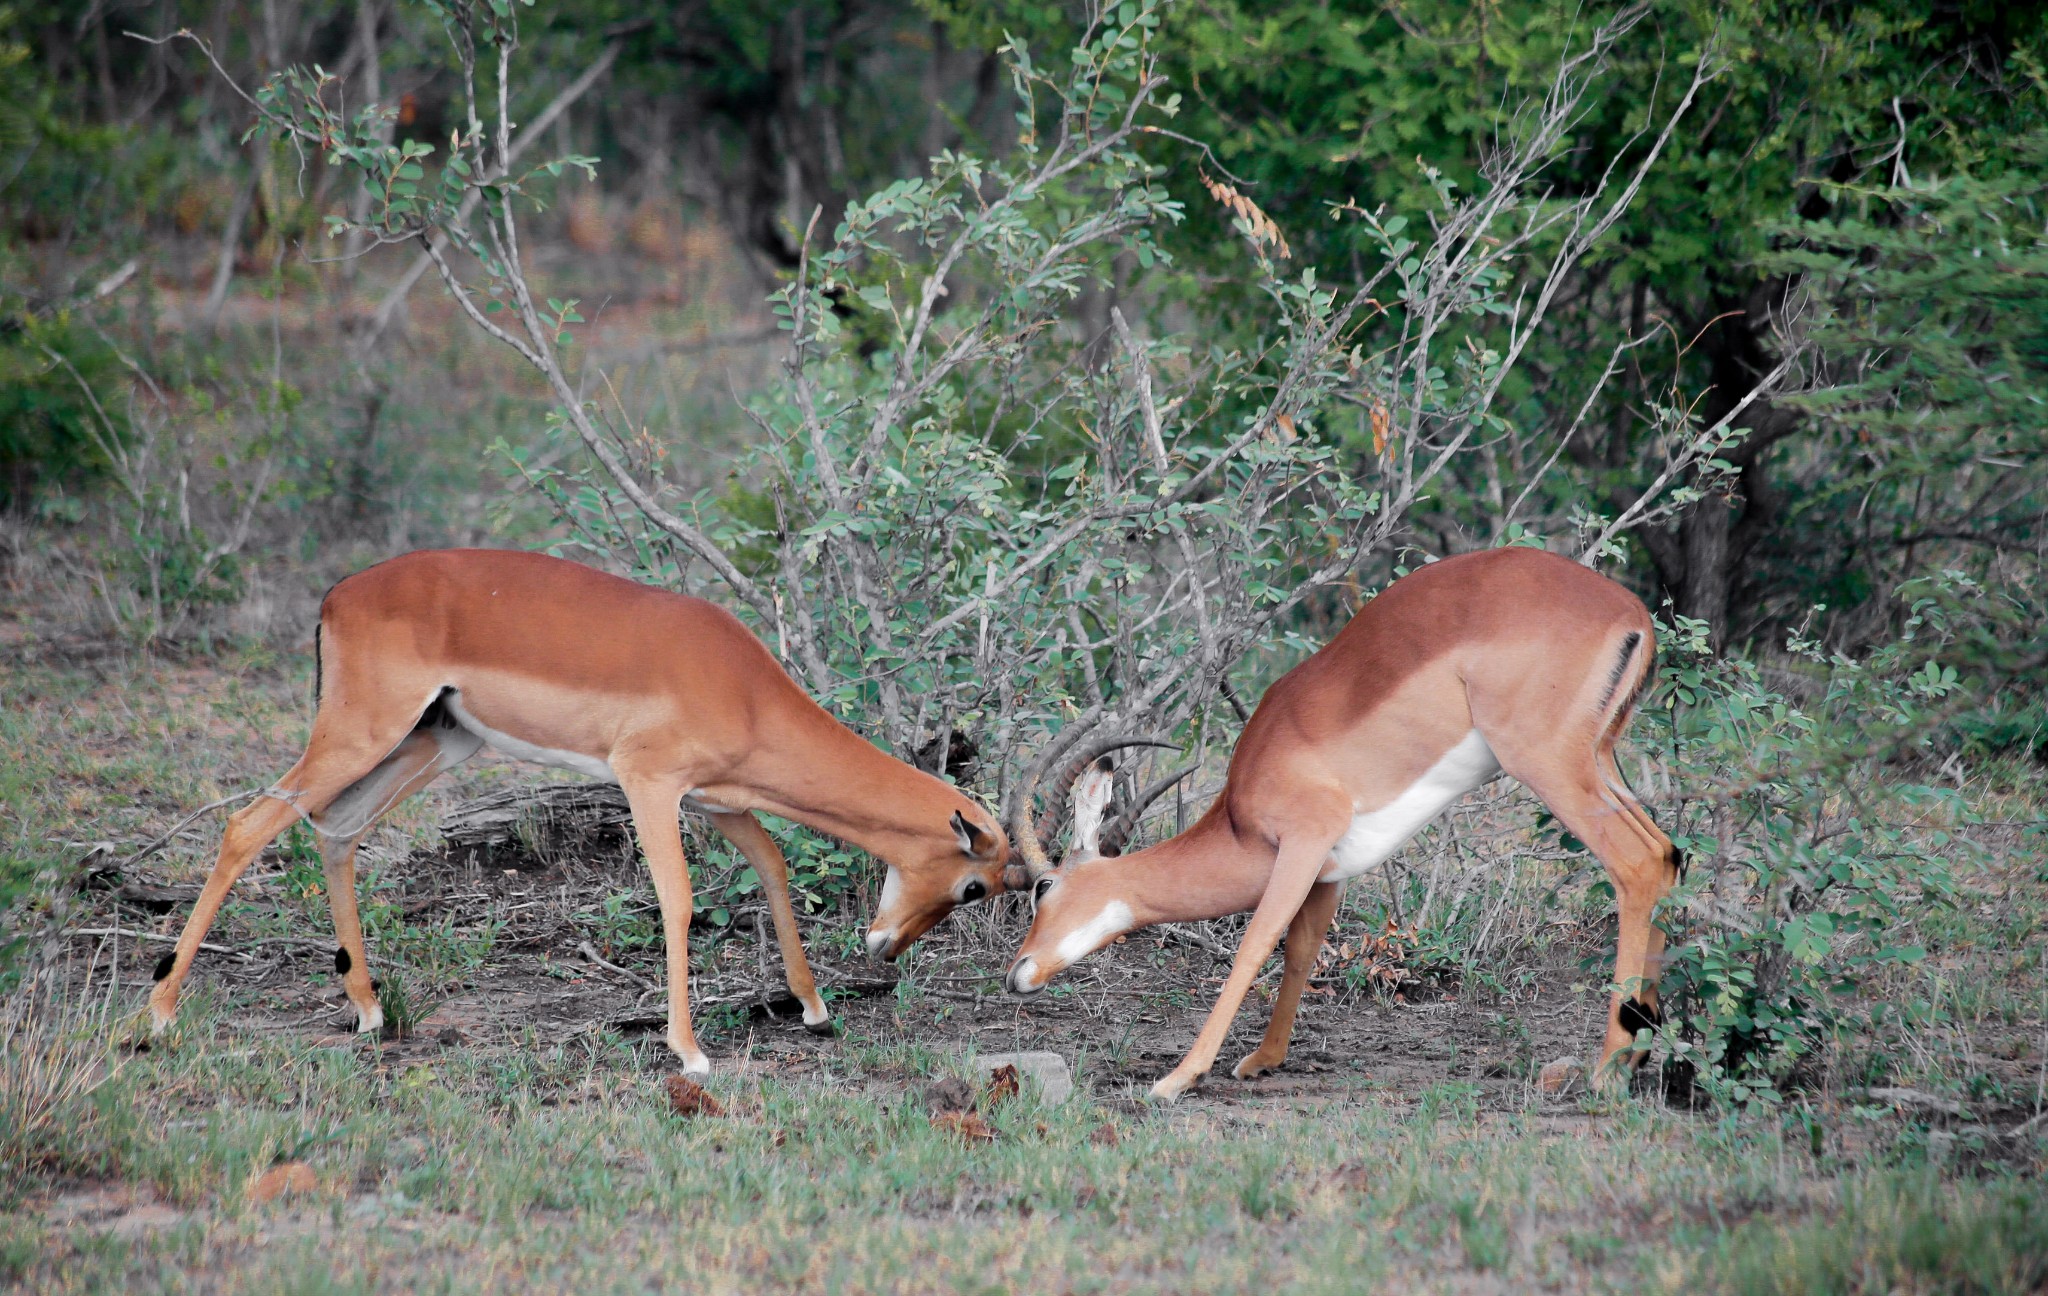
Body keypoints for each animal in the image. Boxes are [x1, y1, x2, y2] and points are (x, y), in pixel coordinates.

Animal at [148, 548, 1011, 1072]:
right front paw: (689, 1052)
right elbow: (678, 898)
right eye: (974, 885)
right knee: (249, 825)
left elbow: (771, 865)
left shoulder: (719, 801)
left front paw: (815, 1009)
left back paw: (366, 1009)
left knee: (337, 830)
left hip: (433, 742)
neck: (743, 685)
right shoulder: (648, 784)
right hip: (362, 732)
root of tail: (337, 594)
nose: (887, 949)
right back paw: (159, 1012)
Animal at [1003, 540, 1679, 1097]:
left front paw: (1176, 1079)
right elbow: (1302, 950)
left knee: (1639, 863)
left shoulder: (1303, 842)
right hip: (1601, 761)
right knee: (1671, 856)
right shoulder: (1331, 870)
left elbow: (1255, 945)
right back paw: (1642, 1050)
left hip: (1550, 767)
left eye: (1043, 886)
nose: (1017, 975)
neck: (1241, 818)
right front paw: (1263, 1059)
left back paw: (1607, 1070)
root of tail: (1632, 613)